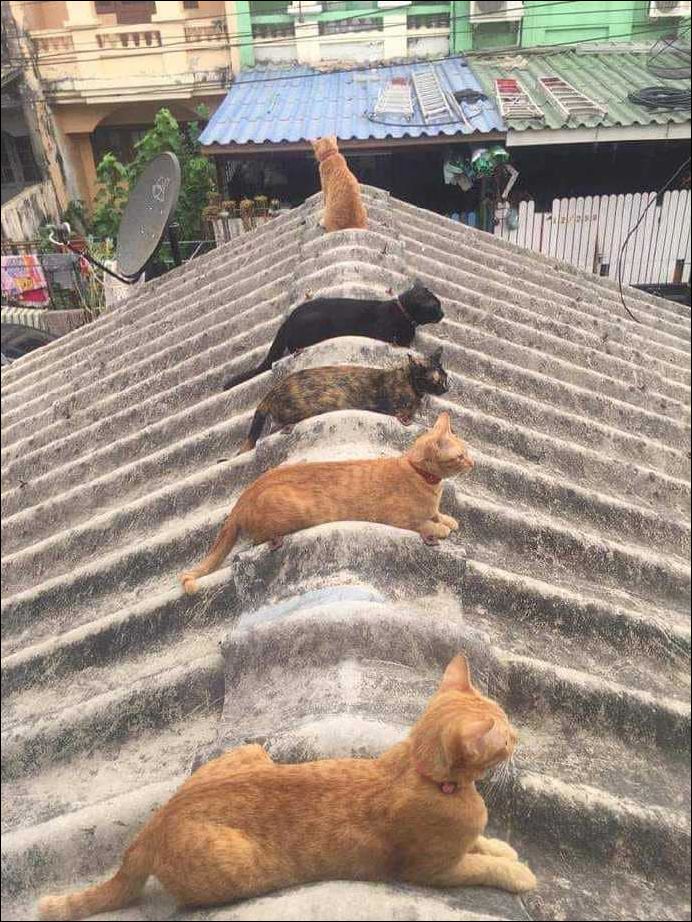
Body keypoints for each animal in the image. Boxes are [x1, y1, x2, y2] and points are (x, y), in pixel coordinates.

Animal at [37, 653, 536, 920]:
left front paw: (501, 847)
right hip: (236, 864)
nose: (519, 736)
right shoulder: (430, 871)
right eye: (506, 735)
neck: (425, 775)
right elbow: (480, 865)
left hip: (252, 751)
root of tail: (154, 824)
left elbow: (482, 844)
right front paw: (517, 872)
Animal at [180, 411, 472, 594]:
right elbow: (426, 524)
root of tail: (241, 499)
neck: (421, 476)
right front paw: (441, 527)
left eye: (468, 452)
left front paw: (448, 519)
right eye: (460, 456)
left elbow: (438, 514)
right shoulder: (400, 520)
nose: (473, 463)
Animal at [237, 347, 449, 454]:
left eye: (446, 377)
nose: (446, 388)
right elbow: (404, 413)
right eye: (436, 380)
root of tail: (270, 393)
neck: (410, 384)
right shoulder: (393, 407)